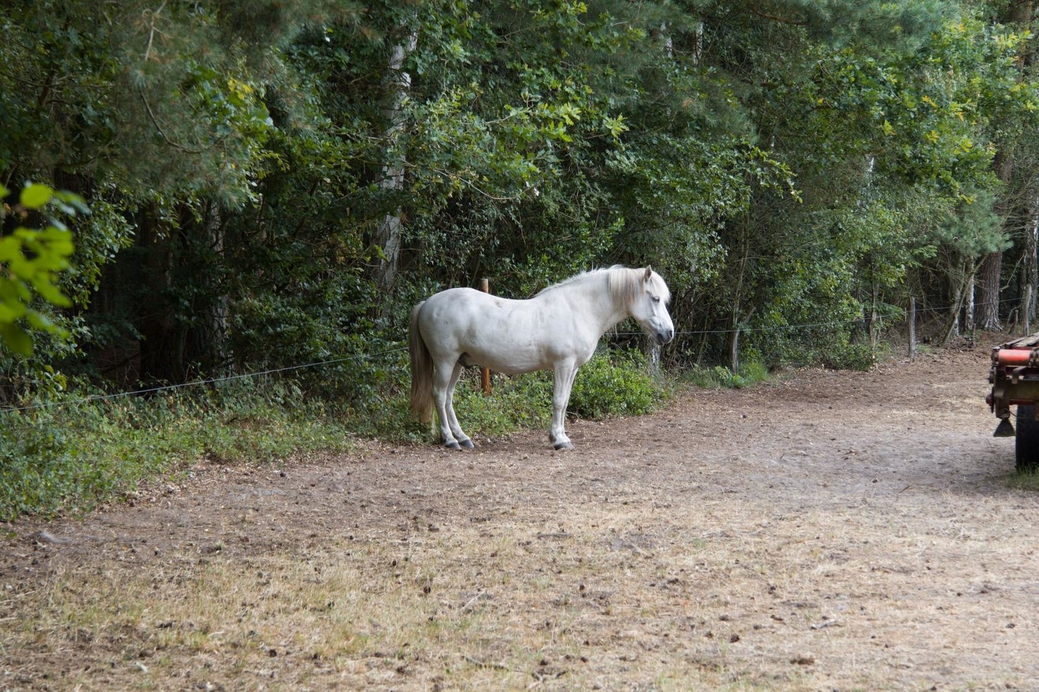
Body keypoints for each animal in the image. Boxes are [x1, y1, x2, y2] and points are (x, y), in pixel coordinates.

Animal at [405, 263, 673, 446]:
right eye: (655, 298)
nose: (669, 333)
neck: (579, 309)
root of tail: (427, 303)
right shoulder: (563, 365)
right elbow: (558, 401)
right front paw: (559, 441)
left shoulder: (573, 368)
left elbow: (565, 401)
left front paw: (560, 435)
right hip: (445, 361)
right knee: (439, 395)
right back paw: (450, 440)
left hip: (458, 363)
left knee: (448, 398)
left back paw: (462, 437)